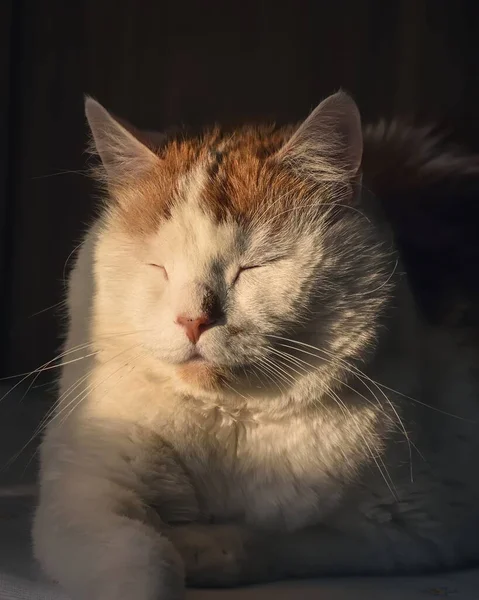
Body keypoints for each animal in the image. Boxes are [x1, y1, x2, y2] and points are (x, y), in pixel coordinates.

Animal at [31, 90, 479, 600]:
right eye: (158, 267)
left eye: (254, 268)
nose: (193, 320)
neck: (230, 421)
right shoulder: (86, 491)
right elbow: (141, 561)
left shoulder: (419, 526)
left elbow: (282, 539)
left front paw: (198, 547)